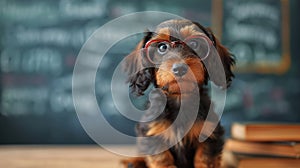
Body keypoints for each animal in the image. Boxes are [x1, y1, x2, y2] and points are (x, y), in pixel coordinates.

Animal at [122, 20, 234, 168]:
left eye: (194, 44)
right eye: (162, 47)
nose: (180, 68)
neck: (179, 98)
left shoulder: (210, 134)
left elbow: (205, 159)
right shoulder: (153, 134)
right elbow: (162, 159)